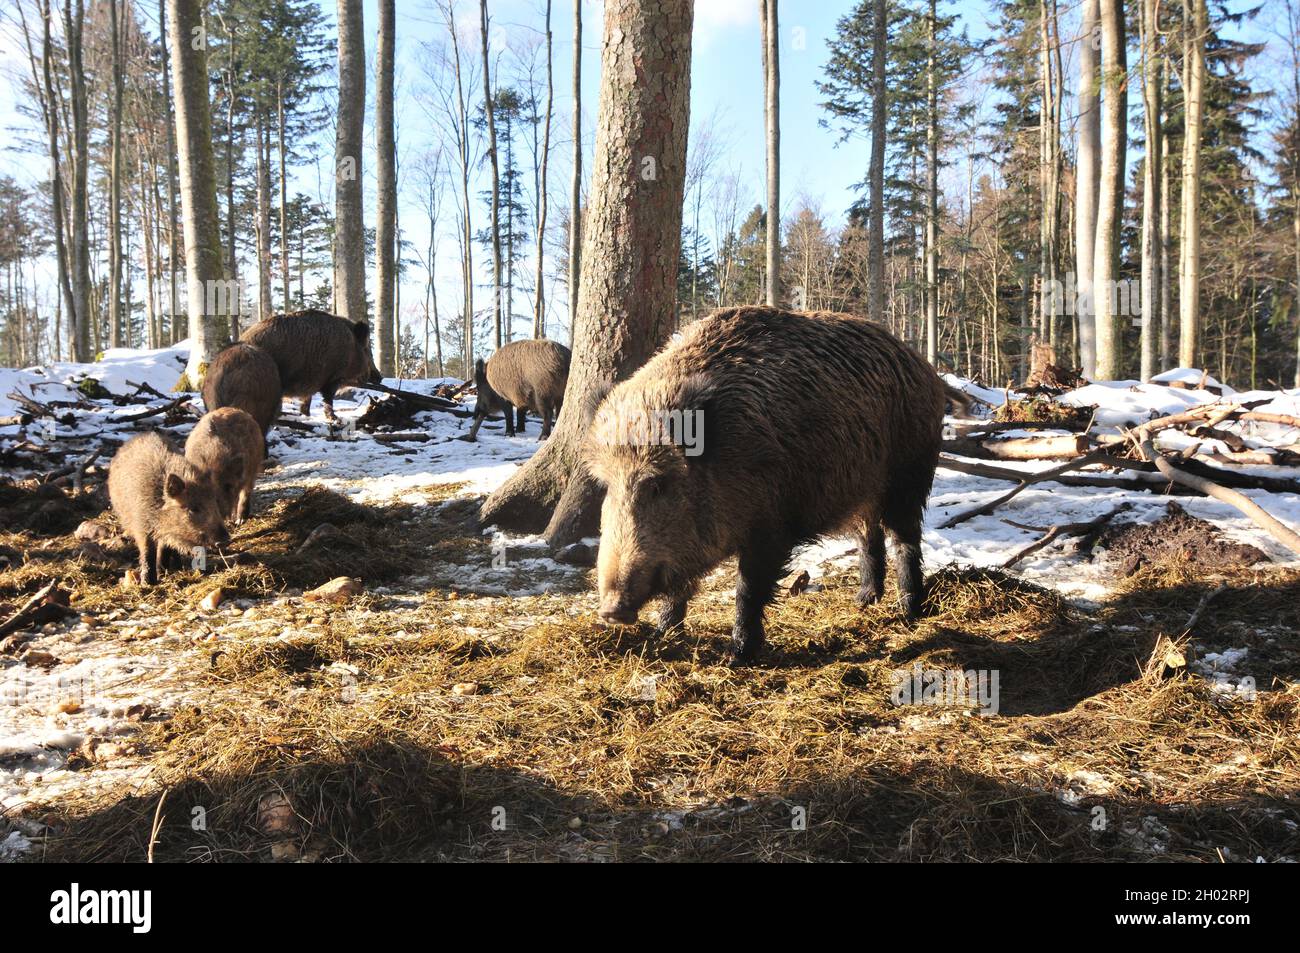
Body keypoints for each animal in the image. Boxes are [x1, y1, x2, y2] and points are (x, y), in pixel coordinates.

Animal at [108, 431, 230, 585]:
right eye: (193, 508)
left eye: (215, 503)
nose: (226, 540)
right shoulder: (141, 526)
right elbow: (148, 552)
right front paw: (148, 583)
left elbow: (165, 548)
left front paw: (163, 572)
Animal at [240, 308, 382, 422]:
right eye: (367, 350)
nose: (379, 378)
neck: (352, 348)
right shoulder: (333, 378)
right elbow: (328, 399)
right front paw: (335, 419)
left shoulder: (311, 381)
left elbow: (308, 399)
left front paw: (306, 415)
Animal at [586, 306, 948, 665]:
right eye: (607, 485)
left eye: (658, 484)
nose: (611, 611)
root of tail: (923, 367)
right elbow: (678, 588)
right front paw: (664, 634)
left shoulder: (772, 524)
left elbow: (747, 588)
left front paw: (737, 656)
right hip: (861, 489)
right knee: (867, 536)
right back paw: (864, 600)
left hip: (910, 473)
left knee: (905, 538)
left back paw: (909, 611)